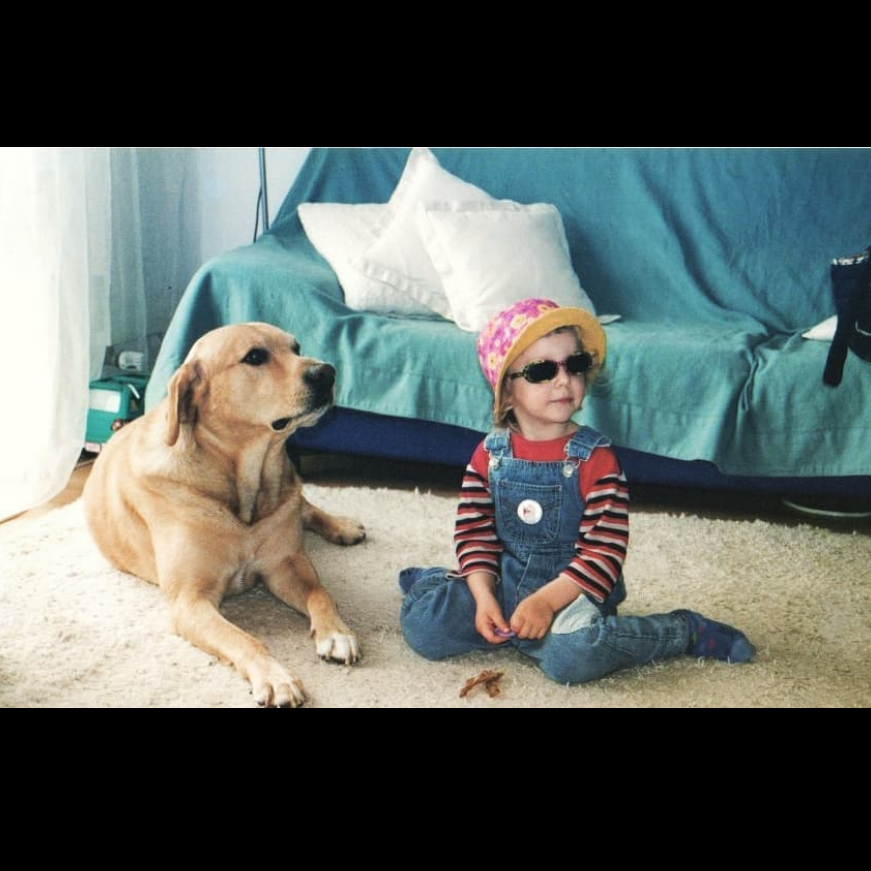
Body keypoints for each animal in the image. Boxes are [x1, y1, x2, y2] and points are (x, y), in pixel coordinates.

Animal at [84, 323, 366, 708]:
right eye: (255, 356)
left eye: (296, 348)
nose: (327, 372)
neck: (241, 481)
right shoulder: (190, 601)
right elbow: (243, 639)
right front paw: (276, 677)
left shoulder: (285, 565)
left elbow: (321, 593)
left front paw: (337, 632)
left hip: (291, 496)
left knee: (306, 508)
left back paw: (342, 527)